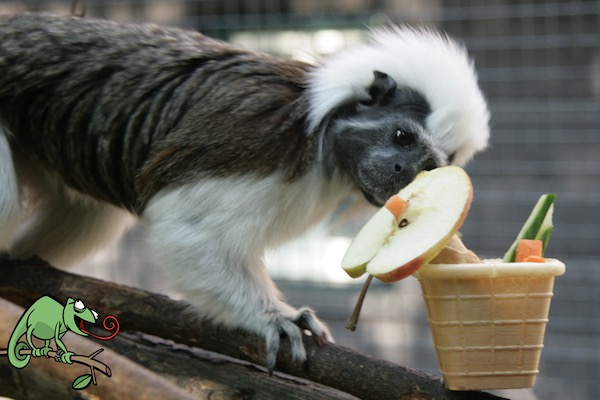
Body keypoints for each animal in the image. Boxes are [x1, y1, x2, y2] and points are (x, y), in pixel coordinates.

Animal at [0, 12, 488, 368]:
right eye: (402, 138)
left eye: (426, 169)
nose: (402, 170)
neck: (322, 143)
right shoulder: (254, 139)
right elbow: (186, 226)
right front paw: (272, 317)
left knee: (89, 218)